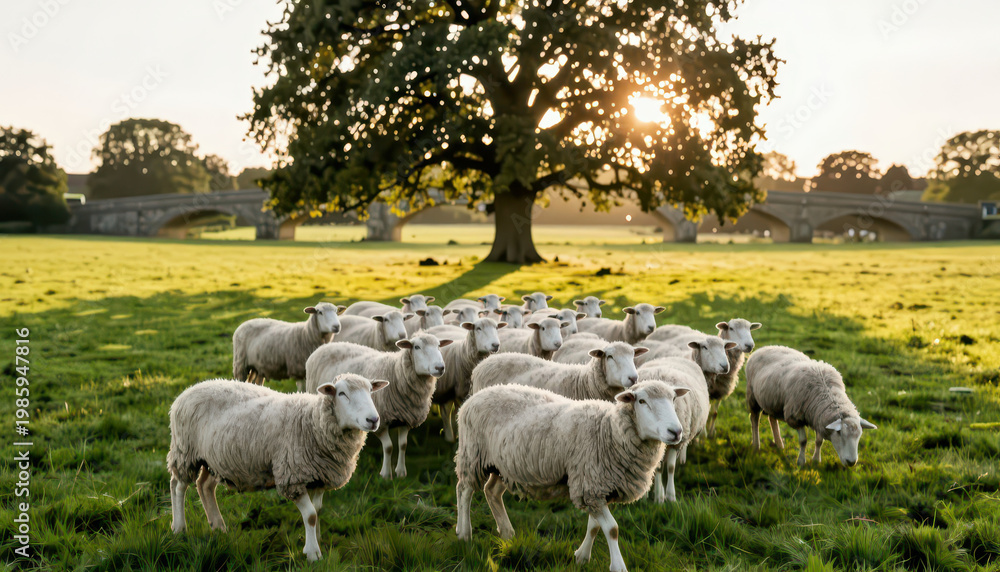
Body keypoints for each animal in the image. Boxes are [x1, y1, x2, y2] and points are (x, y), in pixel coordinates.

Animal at [167, 374, 387, 562]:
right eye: (342, 394)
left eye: (371, 391)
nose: (373, 420)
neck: (312, 422)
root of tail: (187, 391)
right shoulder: (292, 477)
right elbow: (311, 515)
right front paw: (313, 554)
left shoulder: (319, 478)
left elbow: (317, 511)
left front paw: (315, 542)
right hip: (185, 451)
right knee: (178, 486)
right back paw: (179, 528)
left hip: (215, 459)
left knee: (204, 486)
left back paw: (218, 526)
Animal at [305, 333, 451, 479]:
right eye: (417, 347)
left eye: (439, 346)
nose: (440, 368)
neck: (397, 372)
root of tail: (325, 346)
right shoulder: (381, 423)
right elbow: (389, 447)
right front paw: (386, 474)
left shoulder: (406, 418)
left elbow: (403, 445)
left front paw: (401, 472)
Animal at [455, 380, 688, 572]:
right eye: (642, 401)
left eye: (673, 399)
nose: (676, 432)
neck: (609, 431)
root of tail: (472, 399)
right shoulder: (590, 484)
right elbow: (612, 529)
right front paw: (618, 566)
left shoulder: (596, 487)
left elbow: (594, 526)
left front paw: (581, 557)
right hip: (472, 454)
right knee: (464, 490)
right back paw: (464, 534)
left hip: (502, 466)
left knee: (491, 492)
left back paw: (507, 533)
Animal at [637, 357, 710, 503]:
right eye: (642, 401)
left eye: (674, 398)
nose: (674, 431)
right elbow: (656, 467)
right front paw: (656, 496)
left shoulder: (677, 443)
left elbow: (670, 467)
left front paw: (669, 496)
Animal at [746, 346, 877, 467]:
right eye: (839, 433)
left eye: (859, 435)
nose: (851, 462)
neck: (825, 390)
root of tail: (765, 347)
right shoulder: (795, 418)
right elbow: (803, 441)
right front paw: (801, 462)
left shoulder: (819, 417)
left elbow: (819, 441)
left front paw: (816, 460)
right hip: (752, 396)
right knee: (754, 420)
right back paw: (756, 445)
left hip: (773, 402)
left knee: (772, 419)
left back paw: (779, 444)